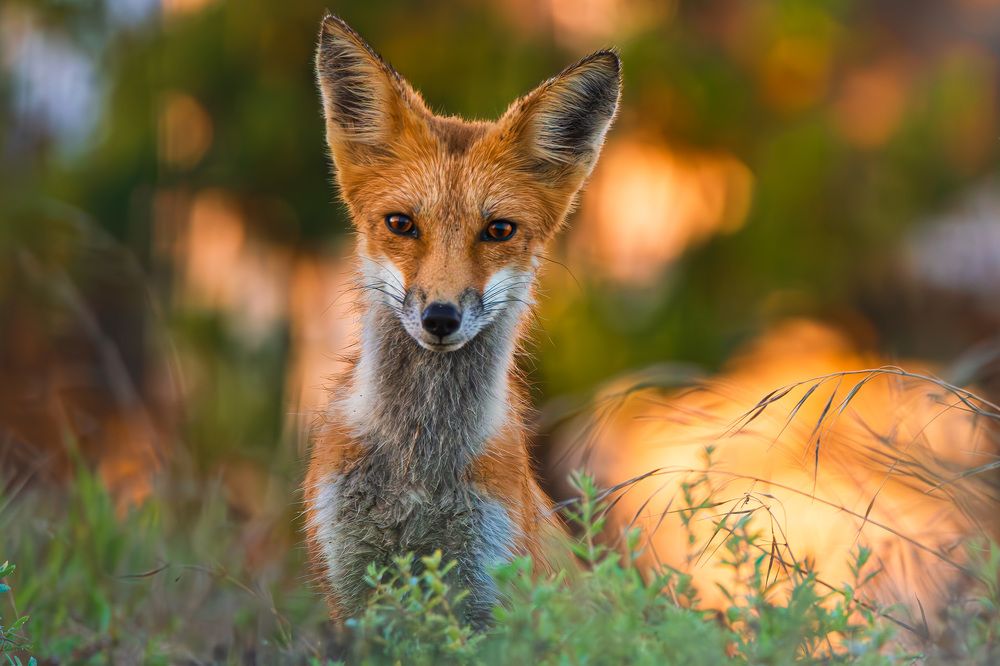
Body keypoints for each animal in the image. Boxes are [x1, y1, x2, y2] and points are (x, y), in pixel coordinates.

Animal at [302, 14, 621, 626]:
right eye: (401, 224)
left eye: (498, 230)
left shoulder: (489, 590)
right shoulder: (348, 589)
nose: (441, 317)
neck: (418, 470)